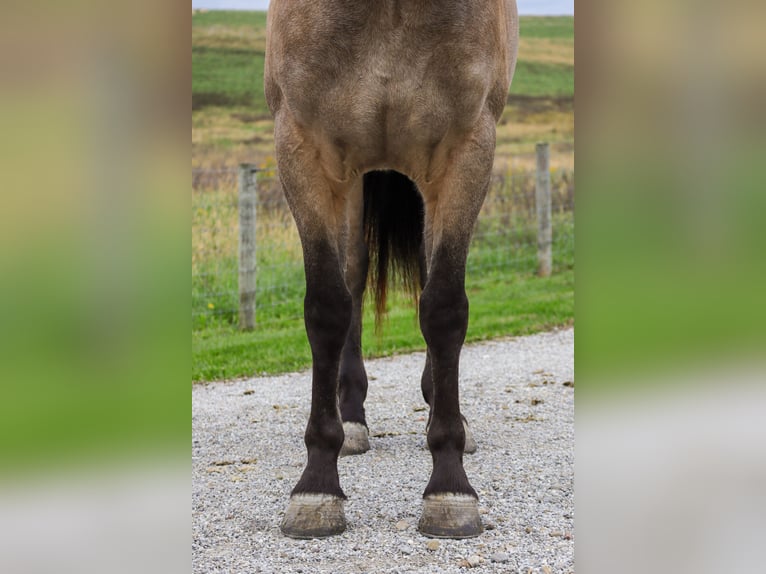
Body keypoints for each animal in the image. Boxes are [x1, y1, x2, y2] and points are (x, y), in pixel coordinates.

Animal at [264, 0, 518, 539]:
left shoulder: (466, 151)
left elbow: (443, 308)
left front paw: (450, 488)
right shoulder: (302, 149)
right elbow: (327, 308)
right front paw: (316, 486)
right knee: (353, 274)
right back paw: (351, 420)